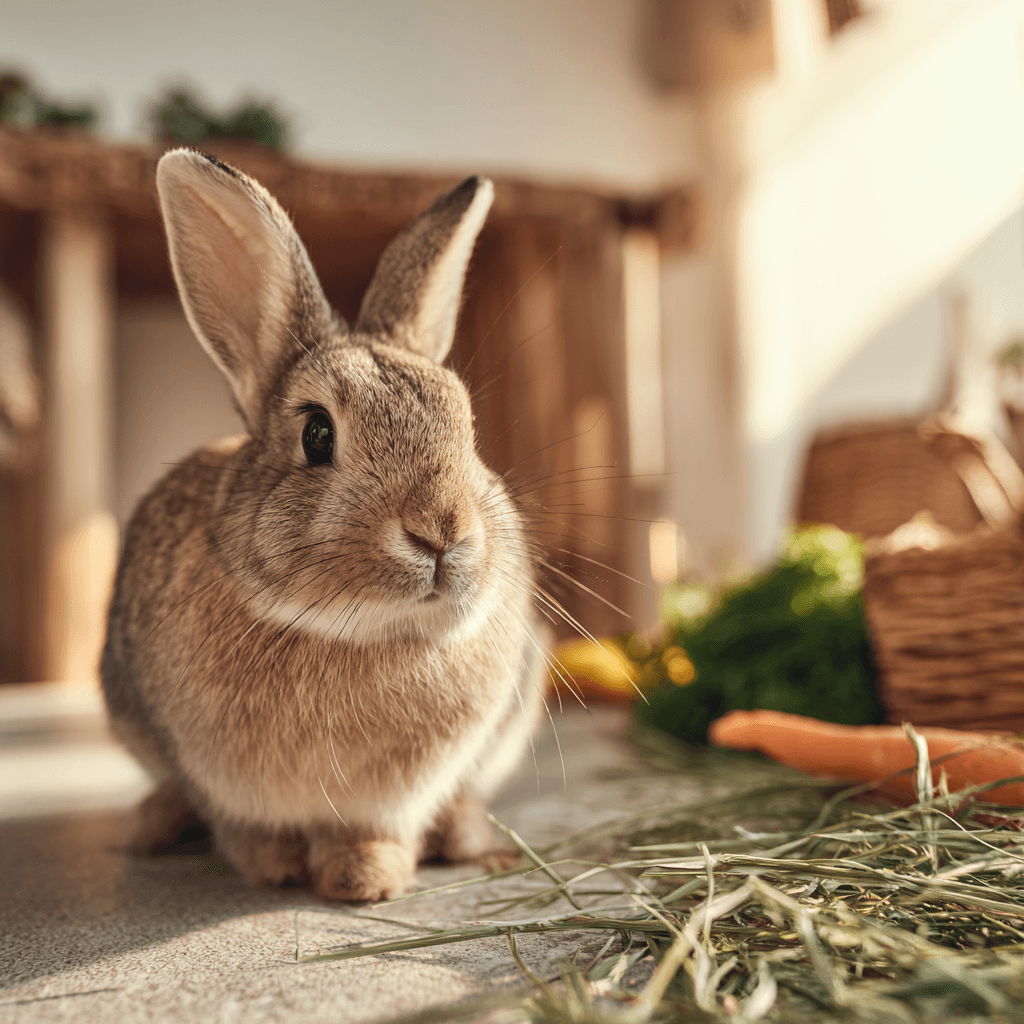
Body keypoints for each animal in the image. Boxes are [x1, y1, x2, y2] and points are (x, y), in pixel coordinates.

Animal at [101, 148, 550, 902]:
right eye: (316, 435)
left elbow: (374, 831)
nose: (441, 530)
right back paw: (148, 826)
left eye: (469, 426)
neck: (356, 632)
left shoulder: (398, 796)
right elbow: (243, 828)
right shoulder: (213, 777)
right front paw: (273, 867)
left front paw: (365, 879)